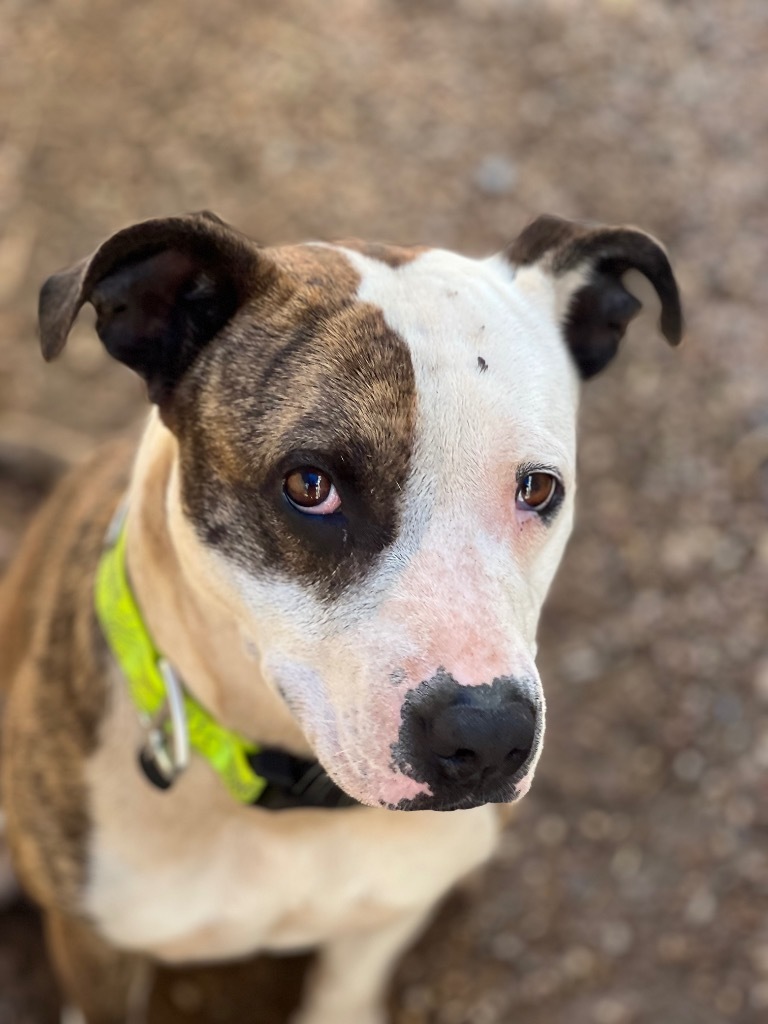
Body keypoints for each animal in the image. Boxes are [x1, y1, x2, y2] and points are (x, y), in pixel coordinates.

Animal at [1, 209, 684, 1024]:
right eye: (310, 485)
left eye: (539, 488)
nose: (489, 736)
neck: (292, 809)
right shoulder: (94, 950)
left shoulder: (384, 920)